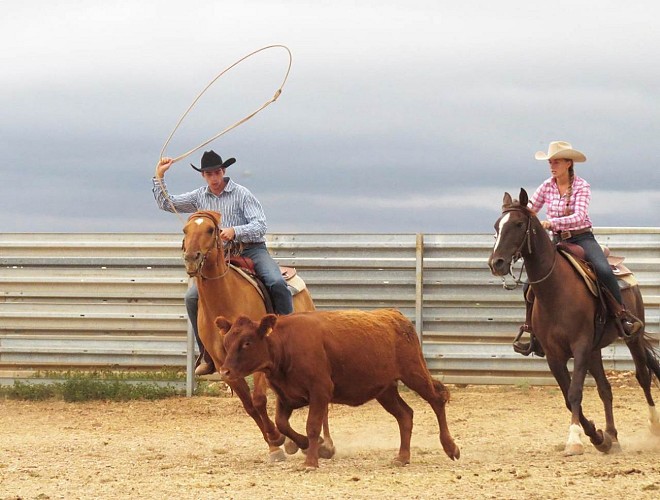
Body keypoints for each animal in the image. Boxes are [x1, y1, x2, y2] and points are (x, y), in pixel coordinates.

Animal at [182, 210, 324, 460]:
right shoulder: (225, 366)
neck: (225, 301)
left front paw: (277, 439)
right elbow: (249, 405)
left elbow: (258, 400)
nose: (191, 258)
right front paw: (275, 443)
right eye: (185, 230)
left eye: (210, 229)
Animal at [217, 308, 458, 468]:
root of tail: (395, 316)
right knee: (405, 415)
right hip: (385, 389)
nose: (224, 371)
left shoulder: (320, 391)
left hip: (414, 372)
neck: (285, 346)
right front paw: (311, 446)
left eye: (247, 342)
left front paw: (311, 460)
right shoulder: (286, 396)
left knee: (437, 398)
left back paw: (450, 447)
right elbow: (282, 424)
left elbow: (312, 425)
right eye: (226, 343)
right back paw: (402, 457)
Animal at [488, 189, 656, 456]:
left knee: (643, 376)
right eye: (497, 226)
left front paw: (575, 439)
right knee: (605, 389)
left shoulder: (580, 347)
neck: (556, 291)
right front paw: (597, 436)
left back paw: (653, 427)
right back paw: (612, 437)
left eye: (518, 224)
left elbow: (576, 392)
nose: (497, 263)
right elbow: (568, 397)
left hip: (633, 337)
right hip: (595, 350)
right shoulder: (554, 355)